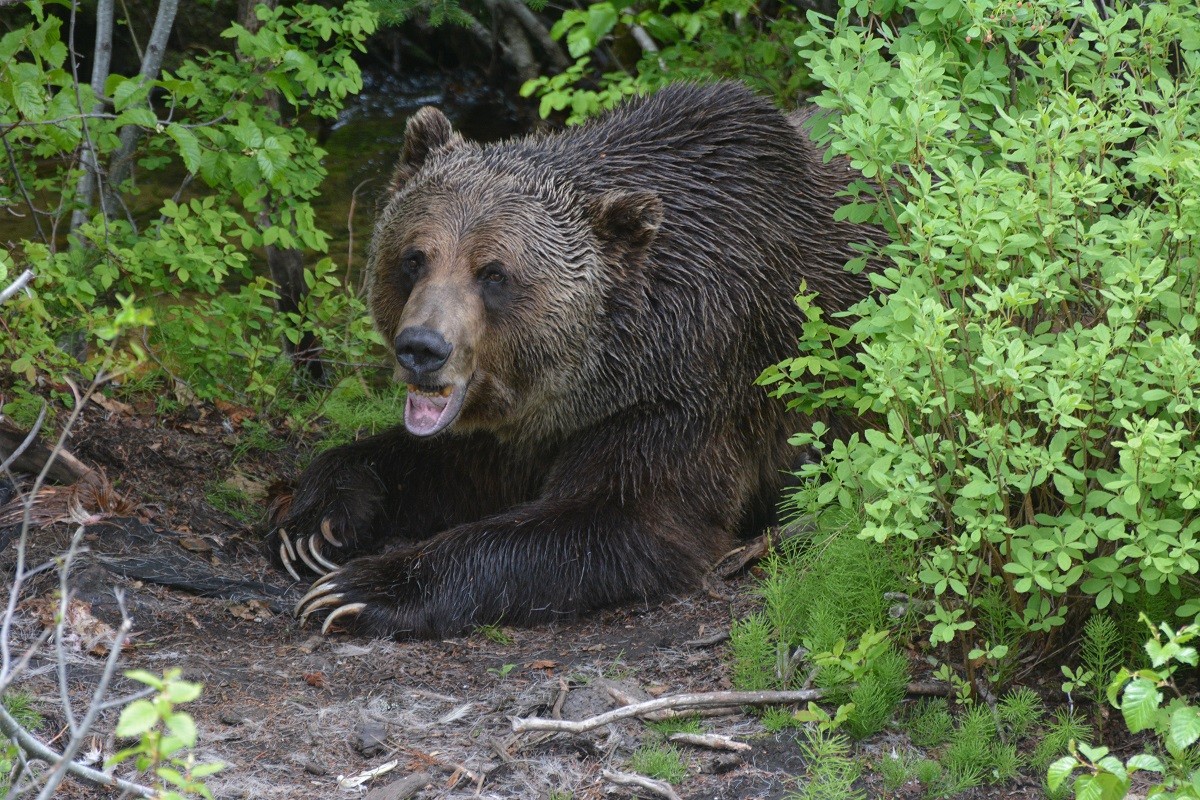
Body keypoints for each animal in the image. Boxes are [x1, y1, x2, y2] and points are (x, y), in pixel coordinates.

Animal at [270, 82, 873, 638]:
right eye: (414, 257)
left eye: (493, 272)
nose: (422, 348)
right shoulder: (528, 414)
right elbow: (442, 464)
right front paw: (315, 523)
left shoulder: (692, 381)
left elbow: (620, 520)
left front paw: (359, 588)